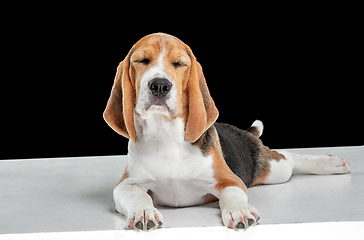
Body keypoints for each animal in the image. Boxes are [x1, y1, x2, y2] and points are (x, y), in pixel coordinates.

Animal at [103, 32, 350, 230]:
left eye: (179, 64)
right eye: (142, 61)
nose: (160, 86)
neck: (165, 136)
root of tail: (244, 132)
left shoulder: (230, 180)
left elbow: (231, 195)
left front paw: (240, 210)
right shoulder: (126, 185)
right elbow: (137, 196)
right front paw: (143, 212)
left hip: (275, 170)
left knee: (287, 157)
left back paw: (330, 163)